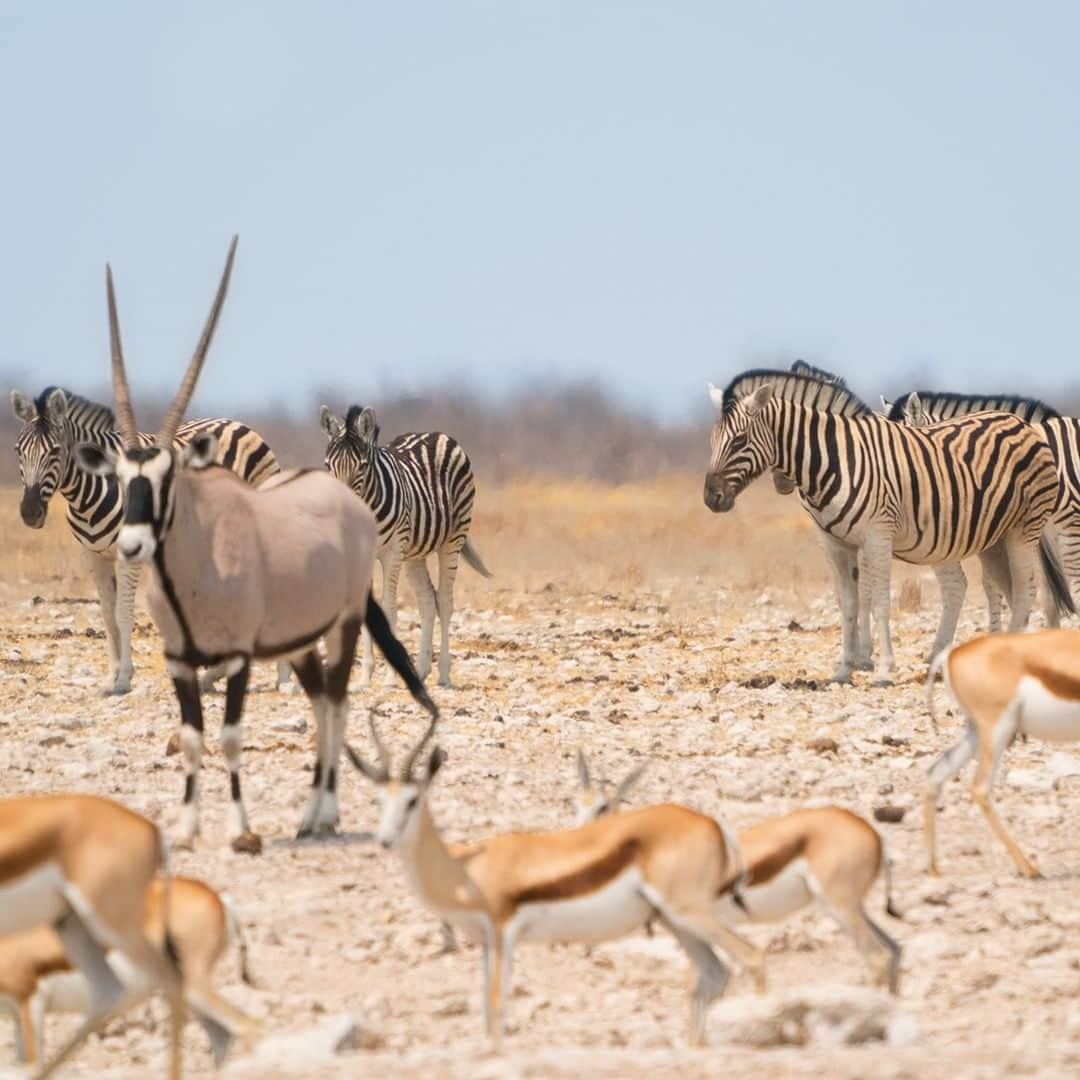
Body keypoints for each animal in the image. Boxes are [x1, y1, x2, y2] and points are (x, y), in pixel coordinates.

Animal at [11, 384, 282, 695]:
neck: (91, 493)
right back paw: (214, 674)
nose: (29, 512)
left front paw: (124, 679)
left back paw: (281, 678)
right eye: (18, 450)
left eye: (55, 451)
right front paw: (111, 677)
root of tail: (235, 422)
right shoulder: (94, 556)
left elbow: (123, 613)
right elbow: (107, 615)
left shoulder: (128, 555)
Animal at [317, 401, 492, 686]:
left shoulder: (392, 552)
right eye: (327, 465)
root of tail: (436, 433)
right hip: (414, 553)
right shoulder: (362, 555)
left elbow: (389, 609)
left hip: (452, 539)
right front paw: (364, 677)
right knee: (427, 600)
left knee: (445, 601)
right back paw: (421, 670)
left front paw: (389, 677)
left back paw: (444, 674)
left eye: (361, 467)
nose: (341, 508)